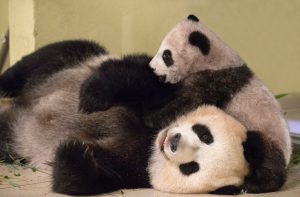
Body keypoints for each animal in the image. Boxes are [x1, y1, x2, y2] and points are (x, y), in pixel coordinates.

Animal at [79, 15, 290, 194]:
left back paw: (256, 185)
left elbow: (187, 103)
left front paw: (150, 117)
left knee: (264, 154)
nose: (153, 68)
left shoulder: (214, 81)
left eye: (167, 55)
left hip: (269, 139)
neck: (219, 59)